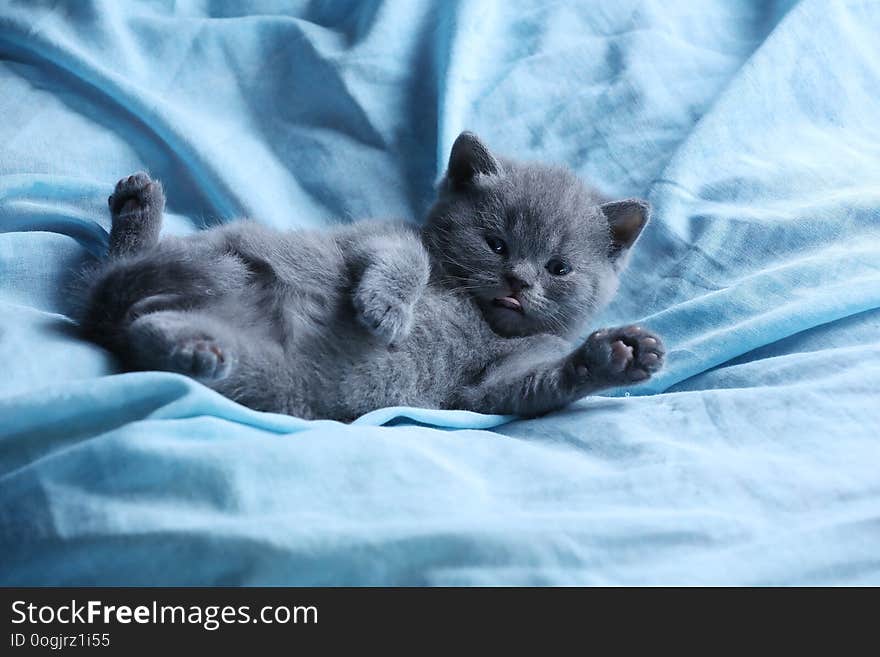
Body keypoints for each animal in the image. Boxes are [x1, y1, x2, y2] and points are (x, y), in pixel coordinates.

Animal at [82, 132, 664, 420]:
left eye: (558, 268)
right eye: (496, 244)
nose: (519, 281)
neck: (481, 319)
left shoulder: (486, 388)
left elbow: (523, 387)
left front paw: (616, 356)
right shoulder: (378, 234)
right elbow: (410, 257)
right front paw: (386, 309)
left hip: (266, 376)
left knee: (140, 330)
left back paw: (192, 348)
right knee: (114, 286)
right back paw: (137, 206)